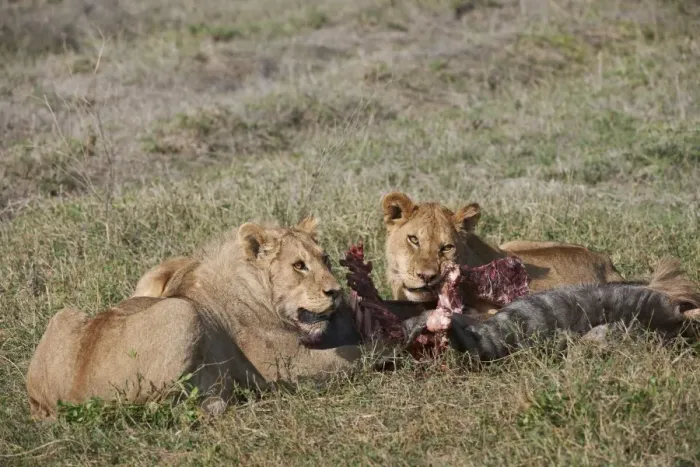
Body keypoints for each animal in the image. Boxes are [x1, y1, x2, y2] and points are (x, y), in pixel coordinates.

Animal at [26, 217, 386, 420]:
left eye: (326, 259)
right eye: (299, 265)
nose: (335, 292)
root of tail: (69, 399)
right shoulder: (289, 365)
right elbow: (362, 353)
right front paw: (392, 344)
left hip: (64, 313)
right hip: (181, 312)